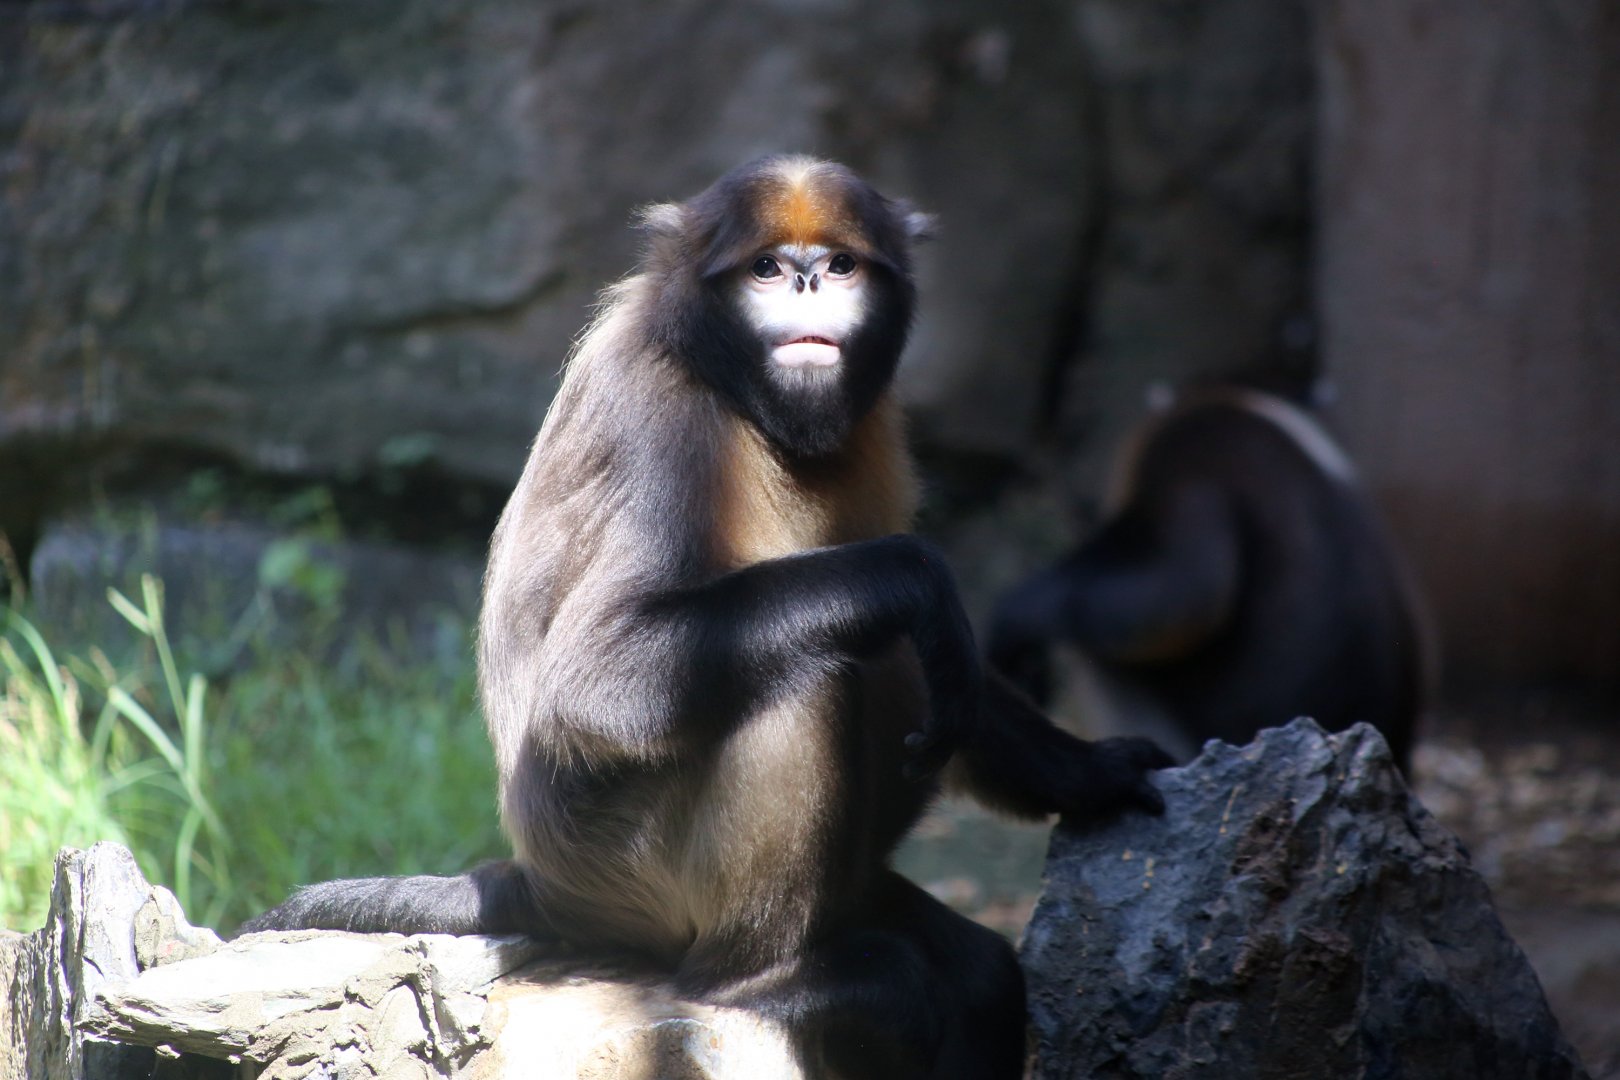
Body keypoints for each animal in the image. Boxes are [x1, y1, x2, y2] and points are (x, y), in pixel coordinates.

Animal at [239, 157, 1171, 1079]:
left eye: (840, 266)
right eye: (767, 269)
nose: (804, 281)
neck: (739, 391)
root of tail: (539, 882)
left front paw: (1086, 771)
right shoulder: (661, 420)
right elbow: (593, 690)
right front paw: (917, 580)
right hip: (624, 868)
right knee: (824, 669)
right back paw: (769, 978)